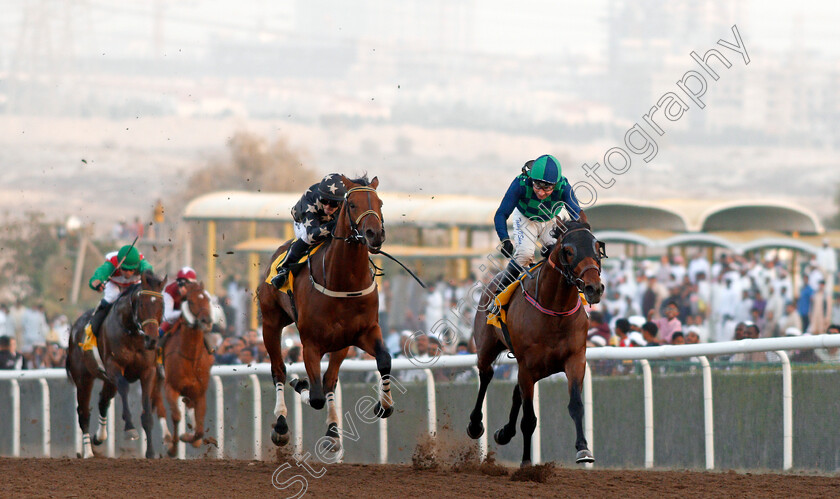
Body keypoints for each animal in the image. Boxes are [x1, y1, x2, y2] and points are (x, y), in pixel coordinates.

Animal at [66, 272, 165, 458]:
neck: (132, 333)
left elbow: (147, 412)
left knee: (102, 401)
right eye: (142, 304)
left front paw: (150, 453)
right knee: (83, 413)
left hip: (108, 381)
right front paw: (130, 429)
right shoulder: (115, 368)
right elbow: (125, 389)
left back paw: (98, 438)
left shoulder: (148, 371)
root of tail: (74, 329)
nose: (152, 340)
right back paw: (88, 452)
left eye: (162, 305)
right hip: (84, 378)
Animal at [159, 282, 215, 458]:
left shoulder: (200, 392)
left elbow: (200, 427)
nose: (206, 321)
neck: (190, 356)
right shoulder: (170, 387)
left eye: (208, 299)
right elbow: (176, 416)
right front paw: (173, 447)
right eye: (190, 301)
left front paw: (190, 437)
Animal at [258, 175, 392, 454]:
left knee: (330, 381)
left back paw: (332, 432)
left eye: (380, 203)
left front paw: (384, 406)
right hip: (271, 323)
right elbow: (315, 396)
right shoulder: (310, 343)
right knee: (279, 370)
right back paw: (281, 424)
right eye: (352, 204)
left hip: (340, 344)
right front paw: (301, 384)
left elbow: (384, 360)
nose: (374, 234)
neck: (344, 281)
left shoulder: (363, 332)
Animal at [470, 216, 608, 468]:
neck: (555, 310)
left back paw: (504, 433)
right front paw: (526, 463)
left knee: (516, 391)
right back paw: (475, 425)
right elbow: (529, 419)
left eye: (597, 247)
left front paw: (583, 449)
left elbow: (576, 405)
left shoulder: (575, 359)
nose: (594, 288)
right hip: (487, 347)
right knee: (486, 375)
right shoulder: (527, 366)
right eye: (568, 251)